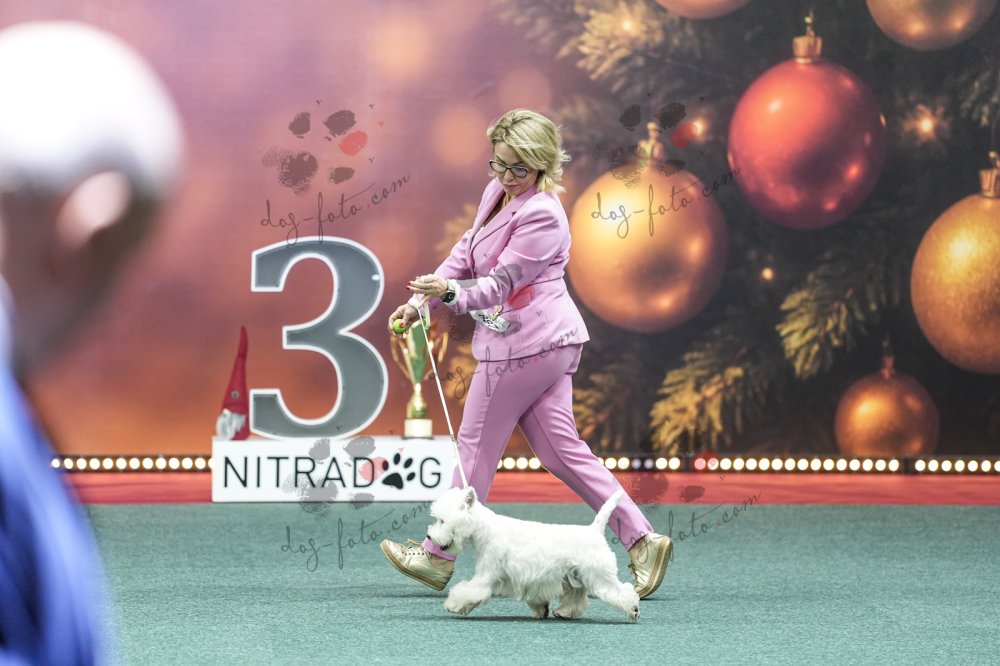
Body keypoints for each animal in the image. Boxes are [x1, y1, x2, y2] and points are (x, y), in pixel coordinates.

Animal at [427, 486, 640, 622]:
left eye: (443, 521)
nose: (429, 536)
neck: (484, 530)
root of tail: (595, 530)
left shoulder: (486, 575)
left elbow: (469, 590)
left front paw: (452, 604)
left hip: (599, 575)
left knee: (622, 591)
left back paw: (633, 609)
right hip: (574, 576)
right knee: (576, 597)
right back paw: (564, 612)